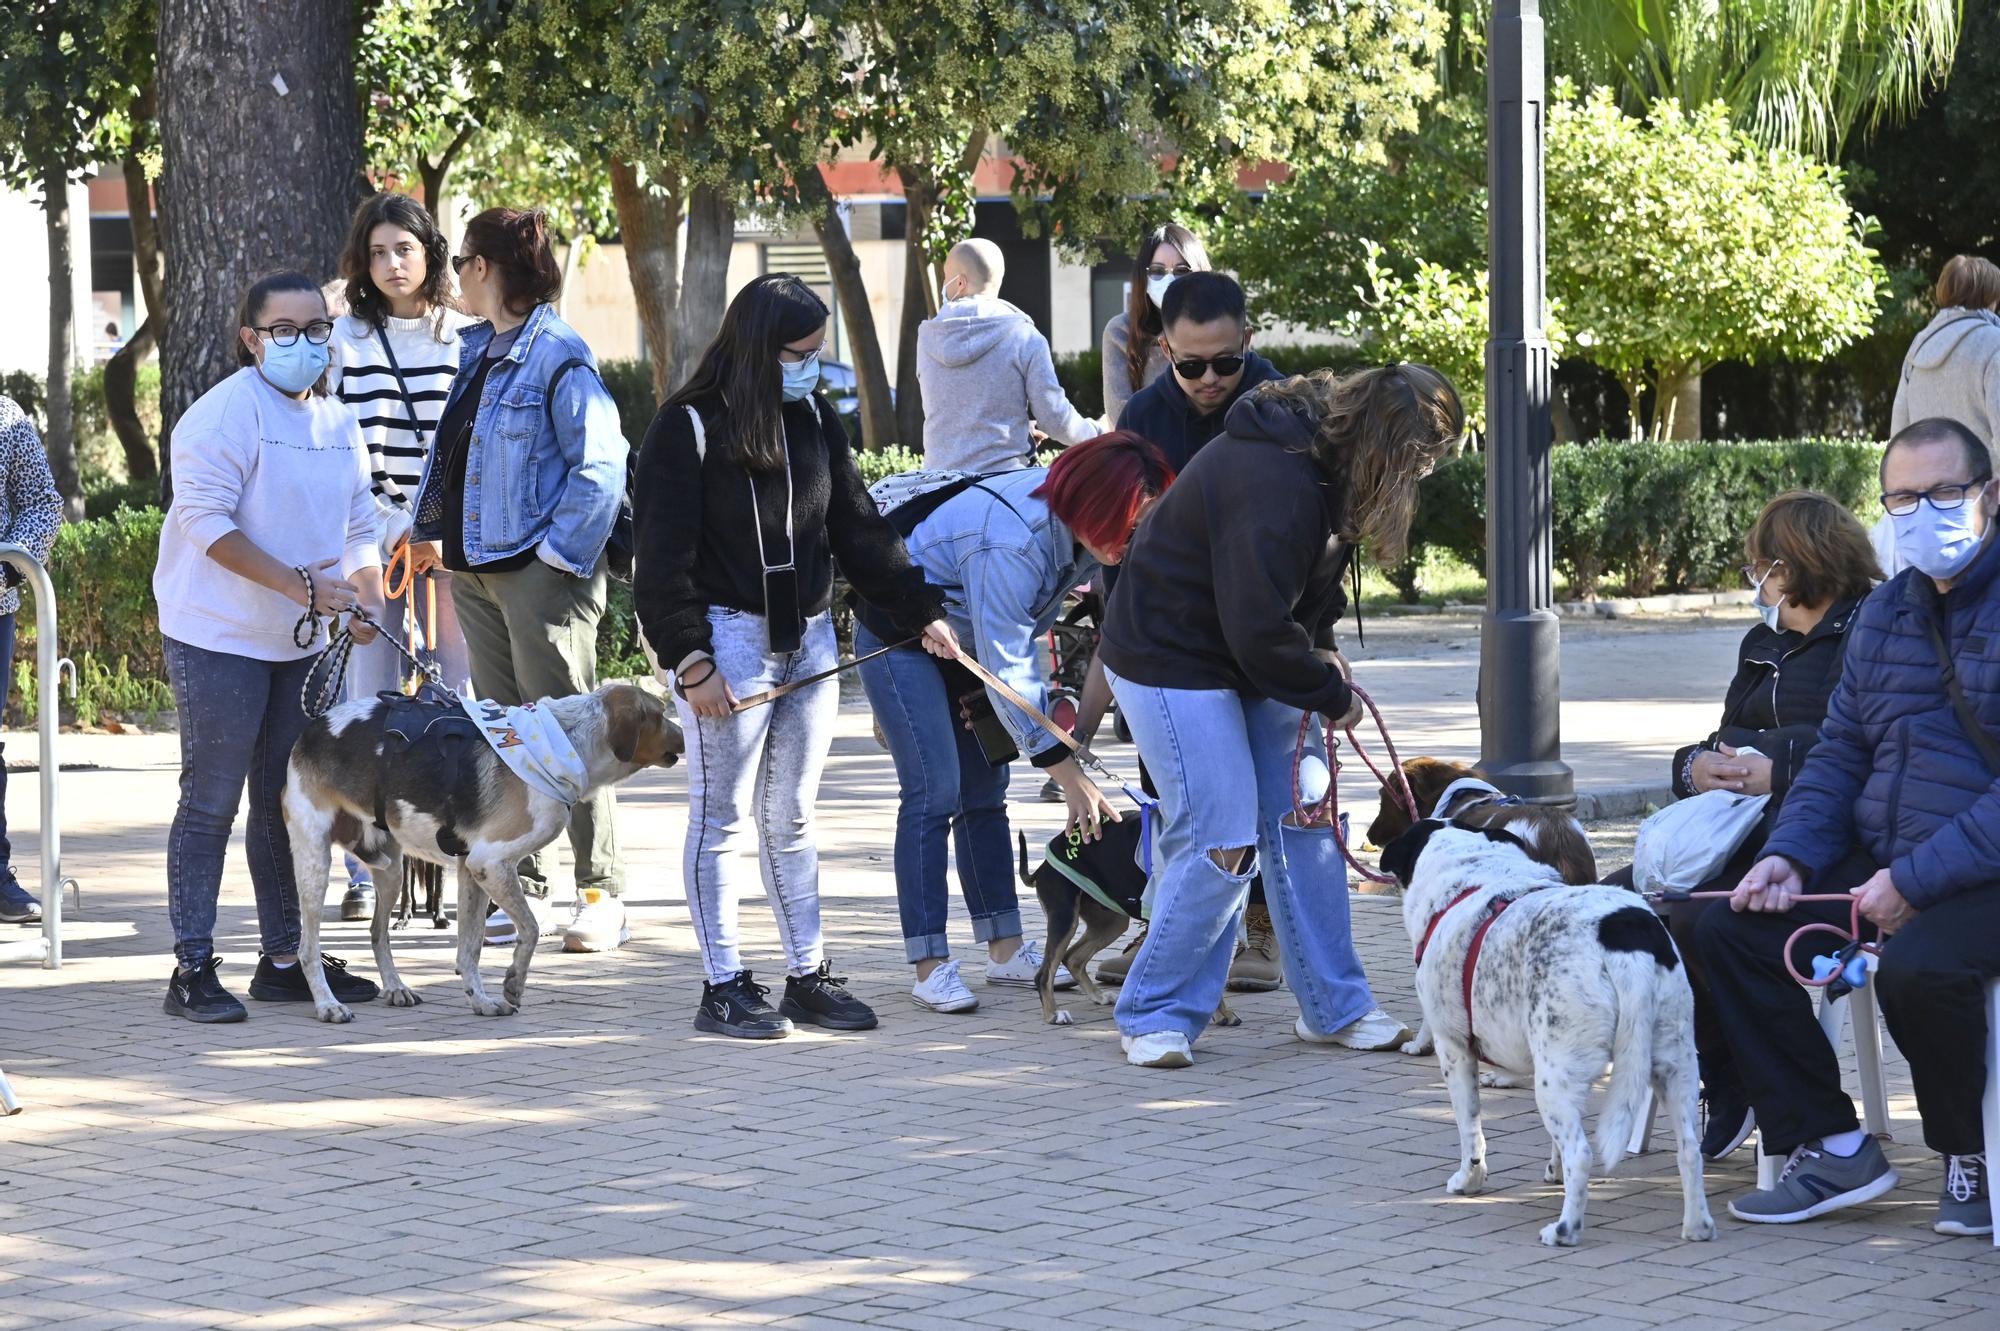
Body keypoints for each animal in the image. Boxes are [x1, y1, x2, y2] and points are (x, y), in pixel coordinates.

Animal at [278, 679, 688, 1019]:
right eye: (658, 715)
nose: (686, 731)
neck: (566, 742)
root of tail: (313, 727)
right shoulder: (490, 863)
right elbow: (530, 929)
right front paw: (513, 983)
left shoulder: (469, 868)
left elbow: (469, 948)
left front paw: (481, 1000)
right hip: (315, 863)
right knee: (307, 948)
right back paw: (328, 1004)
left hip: (390, 868)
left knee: (378, 933)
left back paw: (395, 987)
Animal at [1384, 819, 1712, 1247]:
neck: (1472, 878)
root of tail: (1625, 939)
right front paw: (1554, 1174)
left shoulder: (1454, 1050)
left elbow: (1470, 1129)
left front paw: (1469, 1180)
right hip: (1674, 1065)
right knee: (1690, 1148)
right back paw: (1697, 1227)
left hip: (1555, 1077)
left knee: (1582, 1153)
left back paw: (1565, 1230)